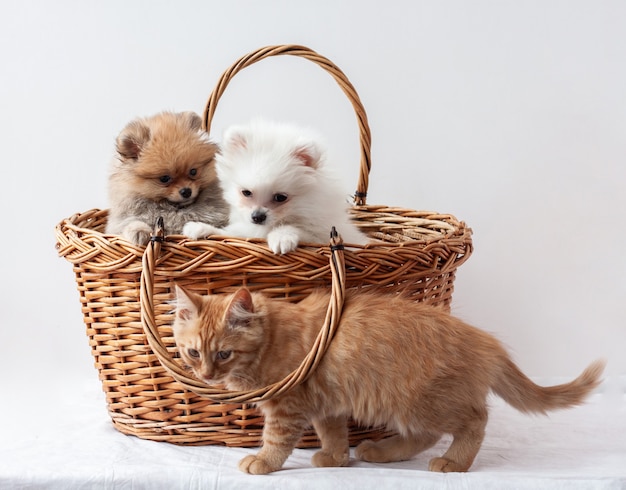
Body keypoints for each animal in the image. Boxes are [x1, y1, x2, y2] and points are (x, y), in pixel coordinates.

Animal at [172, 288, 604, 474]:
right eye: (194, 353)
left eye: (223, 354)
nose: (205, 375)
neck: (275, 336)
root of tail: (484, 341)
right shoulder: (325, 405)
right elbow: (334, 434)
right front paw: (336, 459)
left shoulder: (288, 408)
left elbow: (276, 441)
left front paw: (263, 462)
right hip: (410, 407)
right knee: (424, 436)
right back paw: (379, 452)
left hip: (422, 401)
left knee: (475, 421)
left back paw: (454, 462)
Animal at [183, 120, 366, 255]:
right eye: (246, 192)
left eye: (280, 197)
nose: (257, 217)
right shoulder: (245, 231)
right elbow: (229, 233)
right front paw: (201, 228)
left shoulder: (320, 236)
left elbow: (296, 228)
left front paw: (281, 237)